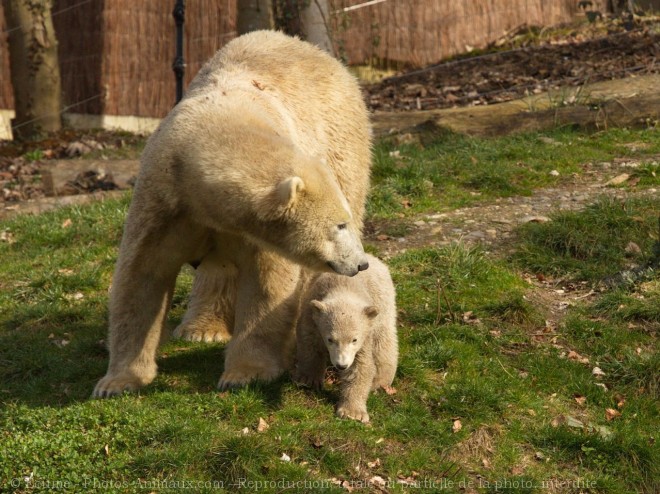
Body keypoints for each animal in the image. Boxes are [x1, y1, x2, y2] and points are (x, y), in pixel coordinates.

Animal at [92, 30, 372, 398]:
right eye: (338, 225)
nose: (360, 263)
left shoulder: (256, 228)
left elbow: (268, 284)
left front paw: (246, 373)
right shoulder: (164, 201)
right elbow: (143, 275)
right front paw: (116, 382)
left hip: (342, 142)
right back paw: (201, 328)